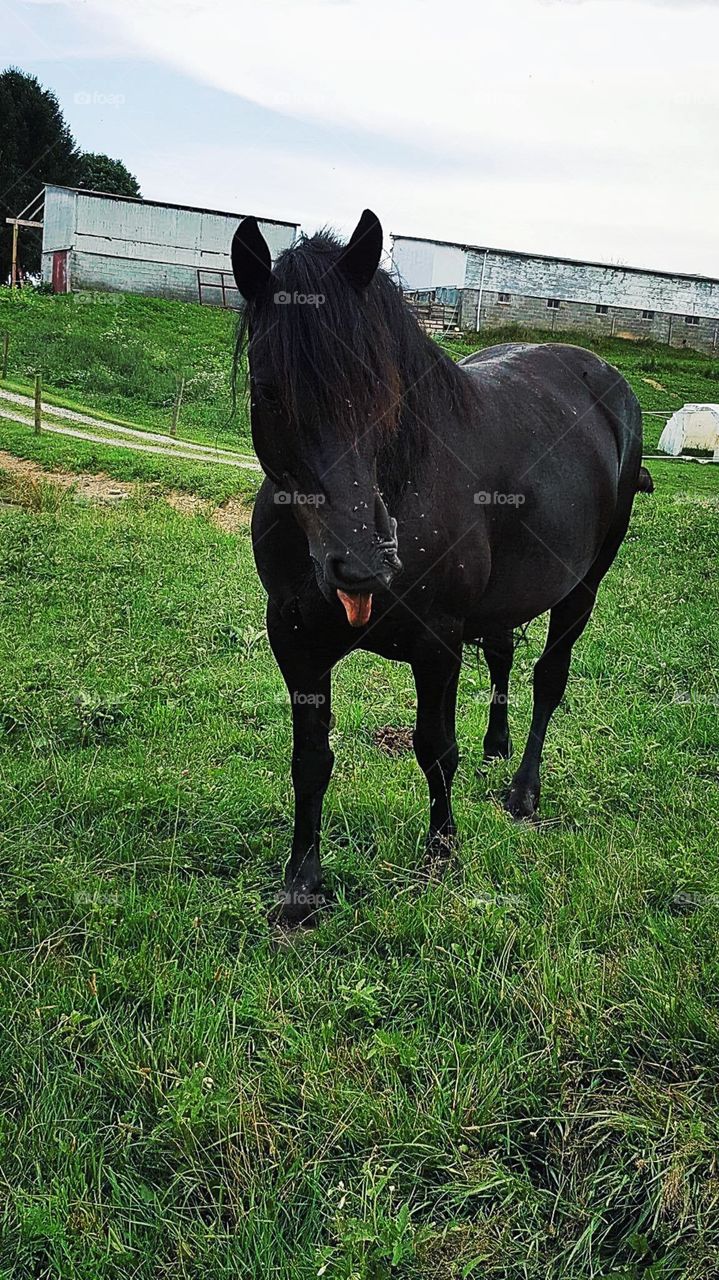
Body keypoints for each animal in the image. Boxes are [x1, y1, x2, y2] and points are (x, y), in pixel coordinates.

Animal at [229, 215, 644, 926]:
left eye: (383, 390)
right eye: (268, 392)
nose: (363, 563)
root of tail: (604, 378)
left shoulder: (438, 643)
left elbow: (435, 749)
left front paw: (443, 853)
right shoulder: (295, 640)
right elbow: (310, 759)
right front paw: (302, 882)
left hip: (583, 586)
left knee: (548, 678)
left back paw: (523, 790)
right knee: (503, 652)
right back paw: (496, 745)